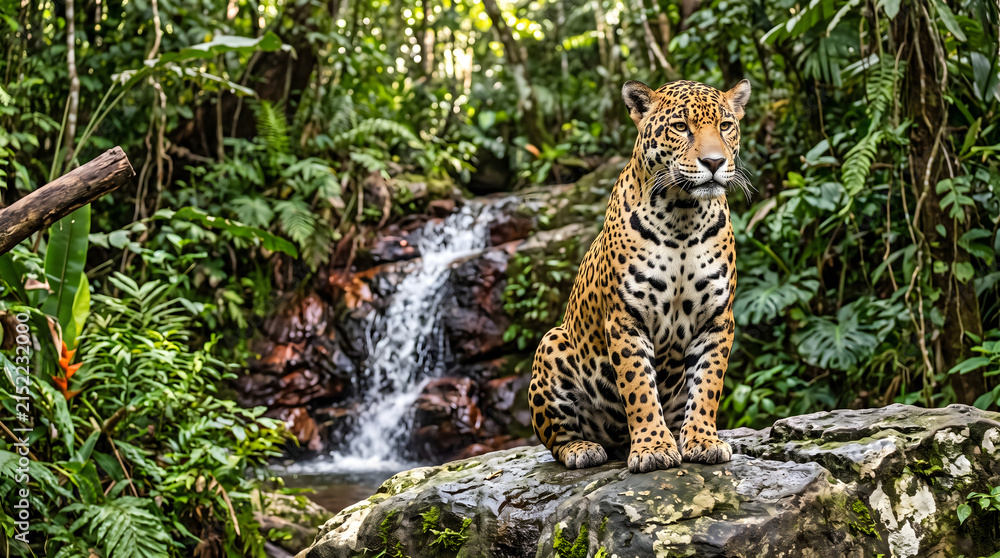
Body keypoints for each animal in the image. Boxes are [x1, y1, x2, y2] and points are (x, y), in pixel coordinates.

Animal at [528, 78, 751, 473]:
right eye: (680, 127)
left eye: (725, 126)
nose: (714, 162)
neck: (683, 215)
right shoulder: (625, 319)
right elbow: (639, 387)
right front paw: (652, 447)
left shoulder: (717, 319)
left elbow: (707, 385)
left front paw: (703, 440)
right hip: (552, 343)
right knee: (557, 440)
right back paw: (583, 449)